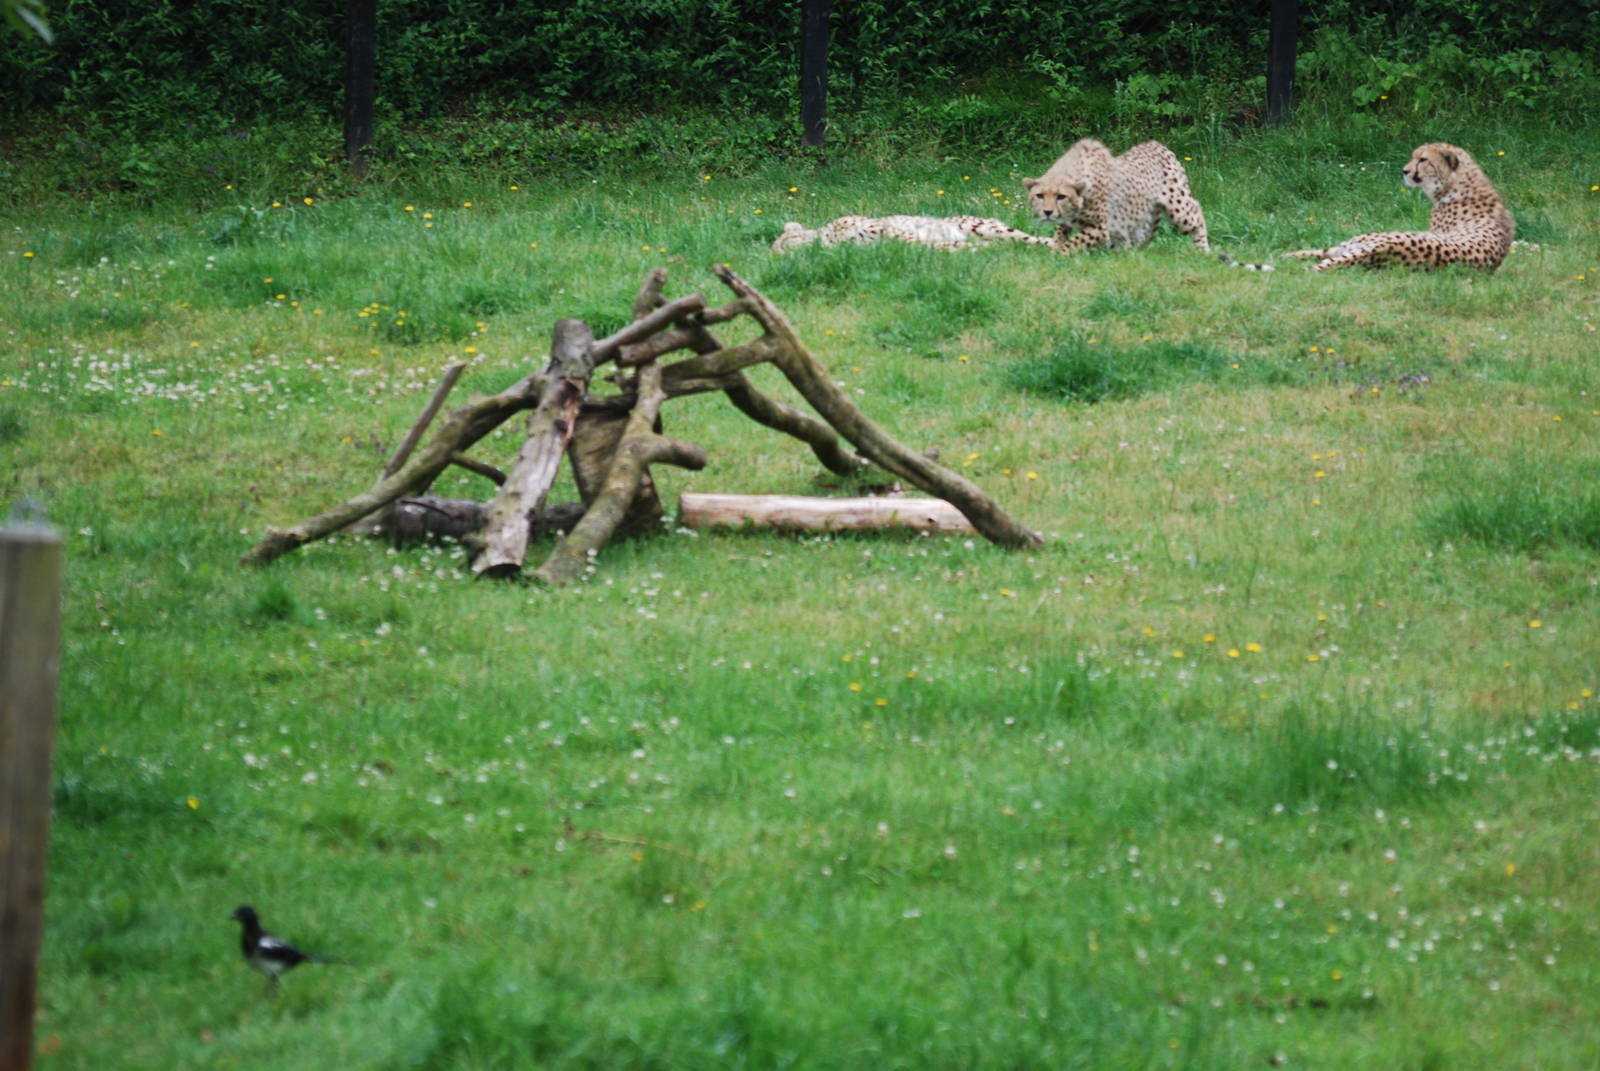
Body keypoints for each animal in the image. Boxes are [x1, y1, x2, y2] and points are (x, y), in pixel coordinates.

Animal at [1023, 138, 1209, 255]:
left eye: (1061, 196)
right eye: (1040, 195)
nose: (1047, 212)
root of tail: (1157, 144)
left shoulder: (1100, 228)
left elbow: (1073, 241)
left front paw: (1057, 255)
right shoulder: (1067, 222)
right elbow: (1061, 234)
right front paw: (1056, 247)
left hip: (1178, 209)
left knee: (1197, 212)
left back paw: (1203, 250)